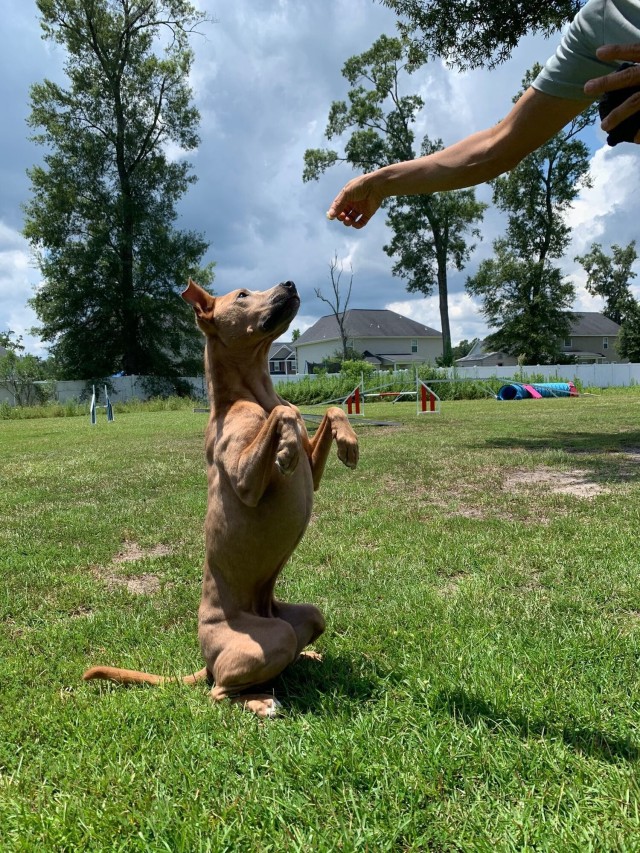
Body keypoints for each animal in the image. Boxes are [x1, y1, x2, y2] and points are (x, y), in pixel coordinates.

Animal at [82, 278, 358, 712]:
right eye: (242, 295)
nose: (290, 283)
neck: (256, 393)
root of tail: (206, 662)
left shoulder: (310, 473)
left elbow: (328, 411)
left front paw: (348, 441)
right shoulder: (246, 483)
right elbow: (283, 417)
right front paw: (285, 446)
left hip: (310, 616)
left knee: (285, 656)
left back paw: (309, 657)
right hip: (271, 639)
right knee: (220, 692)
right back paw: (261, 702)